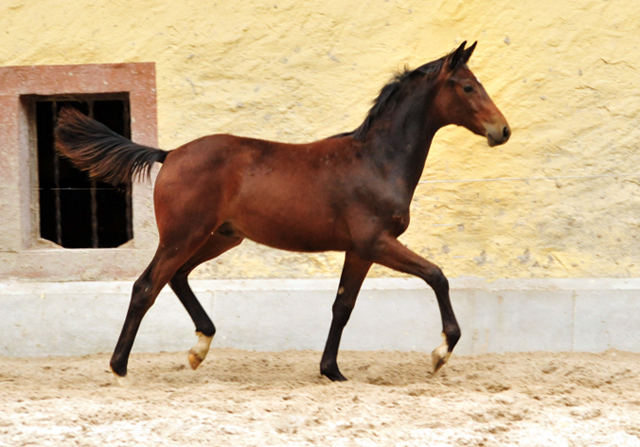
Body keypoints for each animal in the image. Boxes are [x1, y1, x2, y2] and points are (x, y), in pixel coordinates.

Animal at [55, 42, 510, 384]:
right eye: (468, 87)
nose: (502, 131)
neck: (378, 161)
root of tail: (170, 154)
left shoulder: (359, 251)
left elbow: (343, 307)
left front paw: (332, 371)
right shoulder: (376, 242)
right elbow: (437, 275)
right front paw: (440, 352)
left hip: (221, 236)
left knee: (177, 277)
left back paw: (199, 348)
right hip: (183, 235)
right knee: (145, 286)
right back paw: (120, 368)